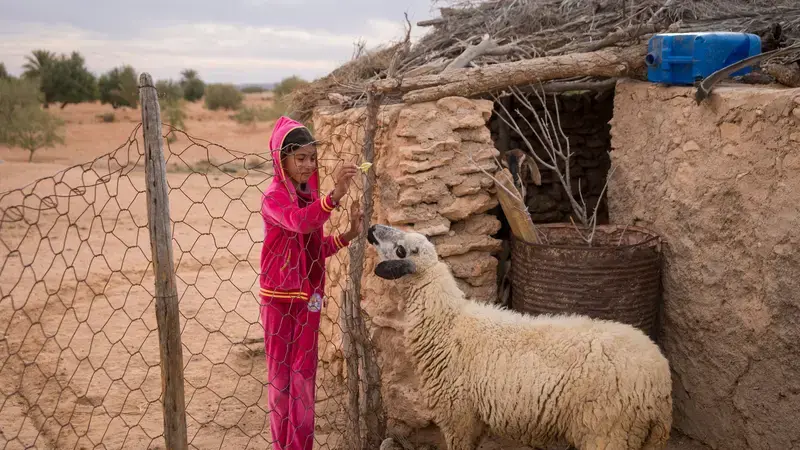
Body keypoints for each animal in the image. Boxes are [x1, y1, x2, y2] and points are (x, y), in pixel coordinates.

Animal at [366, 223, 673, 450]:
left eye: (401, 250)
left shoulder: (458, 414)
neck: (448, 322)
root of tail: (661, 385)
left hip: (608, 430)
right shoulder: (473, 419)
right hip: (639, 436)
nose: (372, 228)